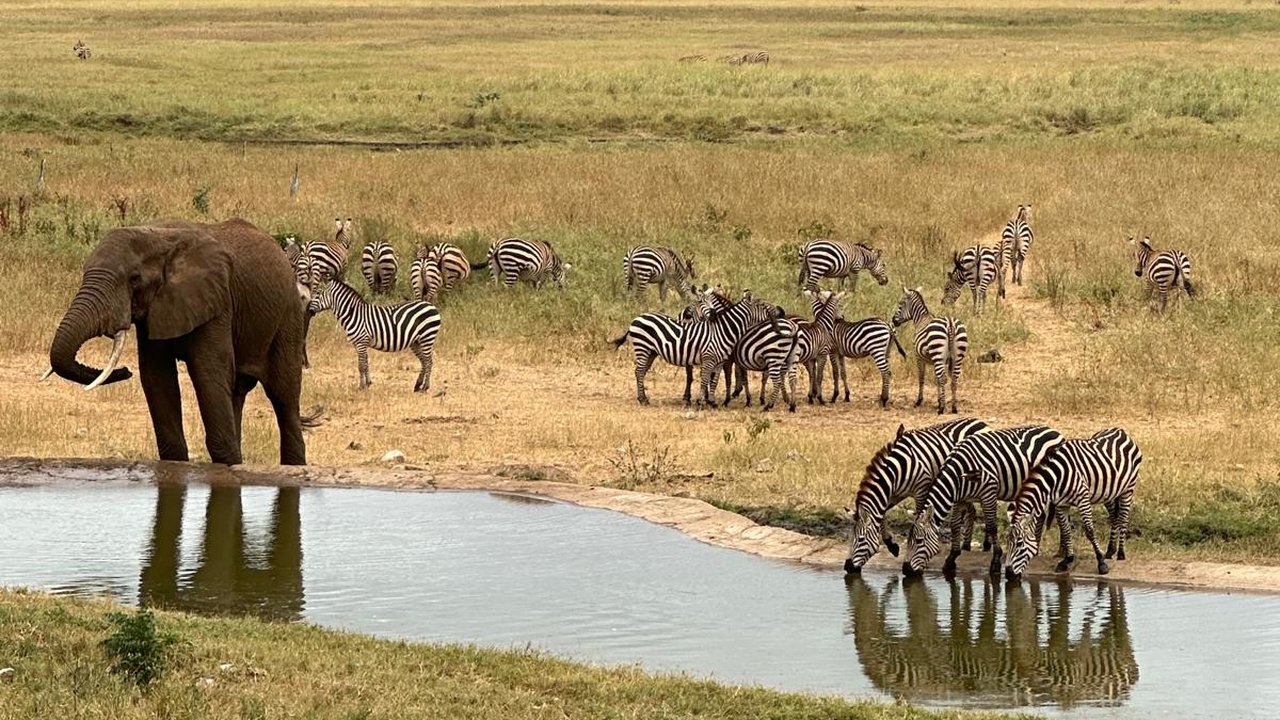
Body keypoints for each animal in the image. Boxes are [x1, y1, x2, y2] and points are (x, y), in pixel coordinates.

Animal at [47, 218, 307, 465]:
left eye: (134, 279)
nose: (125, 371)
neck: (158, 235)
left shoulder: (217, 301)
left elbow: (208, 373)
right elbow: (157, 377)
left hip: (289, 317)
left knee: (283, 395)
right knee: (237, 392)